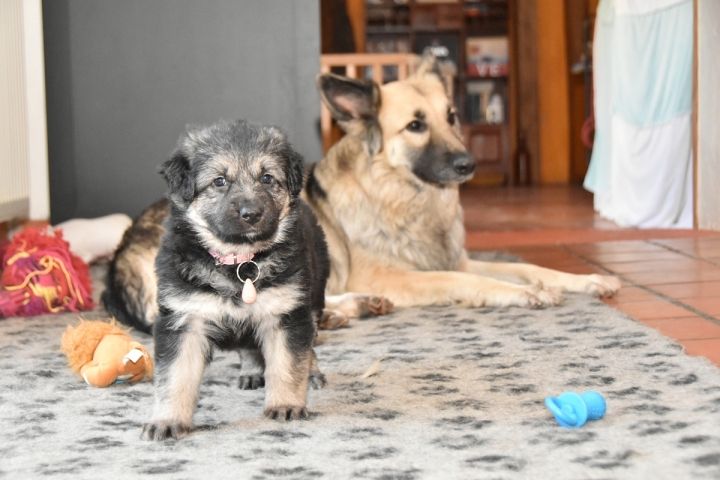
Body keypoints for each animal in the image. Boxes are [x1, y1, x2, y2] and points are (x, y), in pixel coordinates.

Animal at [108, 120, 329, 440]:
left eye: (267, 178)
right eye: (220, 181)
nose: (252, 214)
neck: (239, 263)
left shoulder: (286, 313)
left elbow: (288, 364)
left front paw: (286, 404)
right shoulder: (183, 319)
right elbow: (175, 376)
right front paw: (167, 421)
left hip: (313, 297)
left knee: (308, 342)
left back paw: (311, 372)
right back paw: (251, 371)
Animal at [303, 54, 621, 309]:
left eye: (451, 116)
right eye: (415, 125)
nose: (469, 164)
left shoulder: (462, 261)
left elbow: (529, 267)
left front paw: (585, 280)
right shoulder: (381, 277)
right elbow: (459, 279)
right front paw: (526, 292)